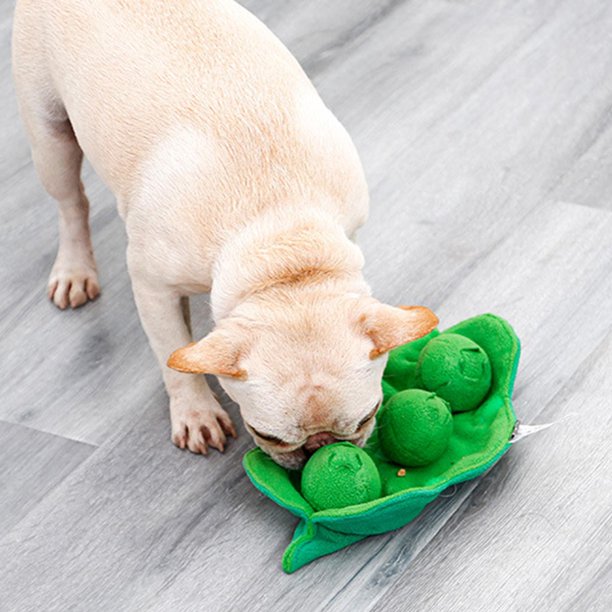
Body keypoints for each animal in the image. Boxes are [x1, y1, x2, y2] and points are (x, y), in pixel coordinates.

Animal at [11, 0, 438, 468]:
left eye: (367, 416)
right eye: (267, 435)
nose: (319, 450)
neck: (282, 242)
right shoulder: (152, 287)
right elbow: (171, 353)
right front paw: (195, 412)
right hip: (49, 134)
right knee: (72, 203)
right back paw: (74, 270)